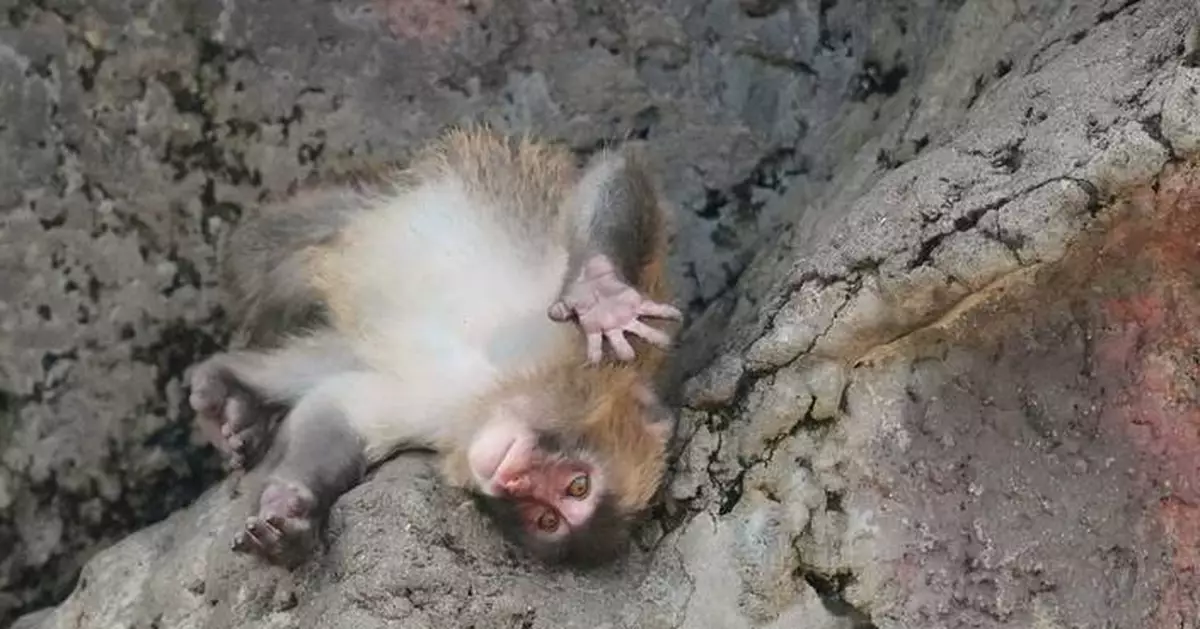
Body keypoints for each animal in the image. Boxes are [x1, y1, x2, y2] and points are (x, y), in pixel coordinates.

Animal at [186, 126, 683, 567]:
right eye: (578, 486)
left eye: (547, 518)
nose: (514, 481)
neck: (498, 387)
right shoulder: (587, 347)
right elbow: (613, 173)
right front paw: (602, 295)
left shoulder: (441, 425)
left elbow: (338, 411)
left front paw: (292, 510)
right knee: (271, 255)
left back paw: (235, 394)